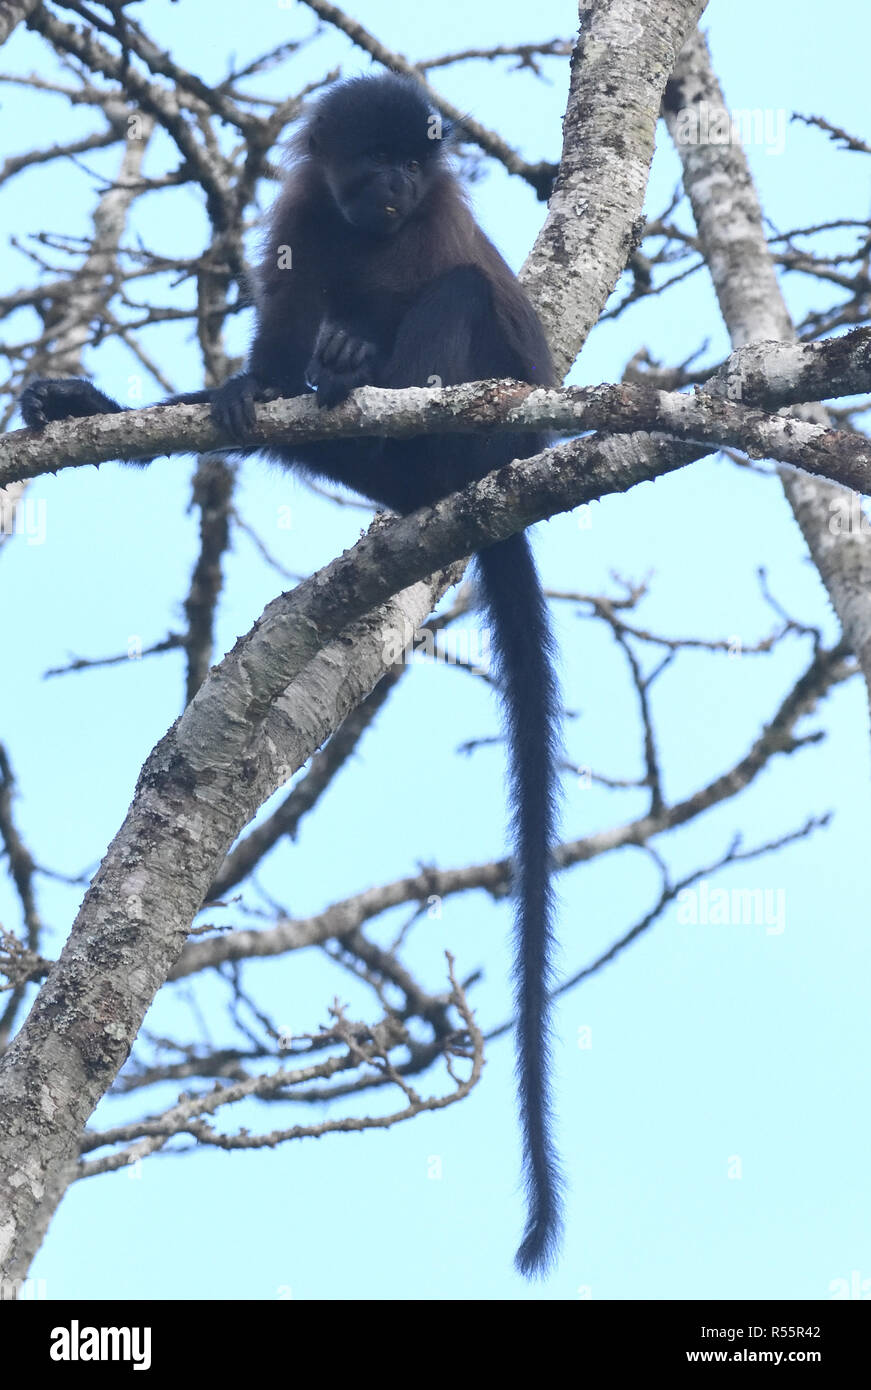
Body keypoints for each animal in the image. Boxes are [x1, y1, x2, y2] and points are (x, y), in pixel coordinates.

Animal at [22, 70, 566, 1273]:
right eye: (371, 161)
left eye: (416, 159)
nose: (400, 180)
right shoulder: (302, 220)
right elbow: (270, 343)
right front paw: (228, 386)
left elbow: (461, 283)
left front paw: (349, 363)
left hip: (487, 424)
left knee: (461, 295)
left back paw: (376, 392)